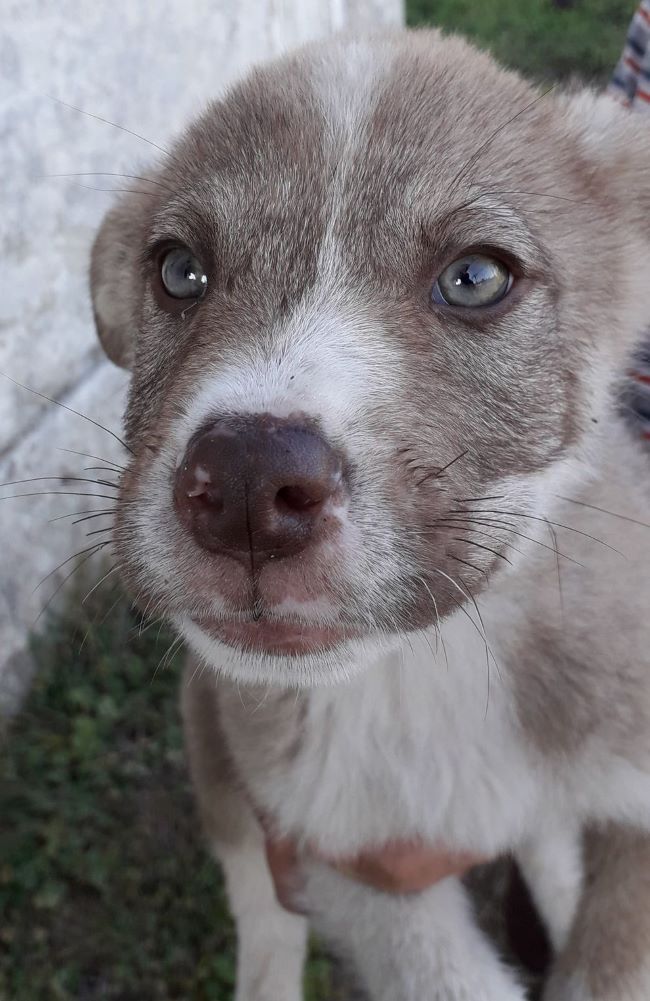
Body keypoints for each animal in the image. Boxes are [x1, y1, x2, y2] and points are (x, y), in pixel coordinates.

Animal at [88, 29, 648, 1001]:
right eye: (178, 270)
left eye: (476, 277)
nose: (244, 486)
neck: (435, 667)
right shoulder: (340, 846)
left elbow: (612, 961)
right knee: (261, 910)